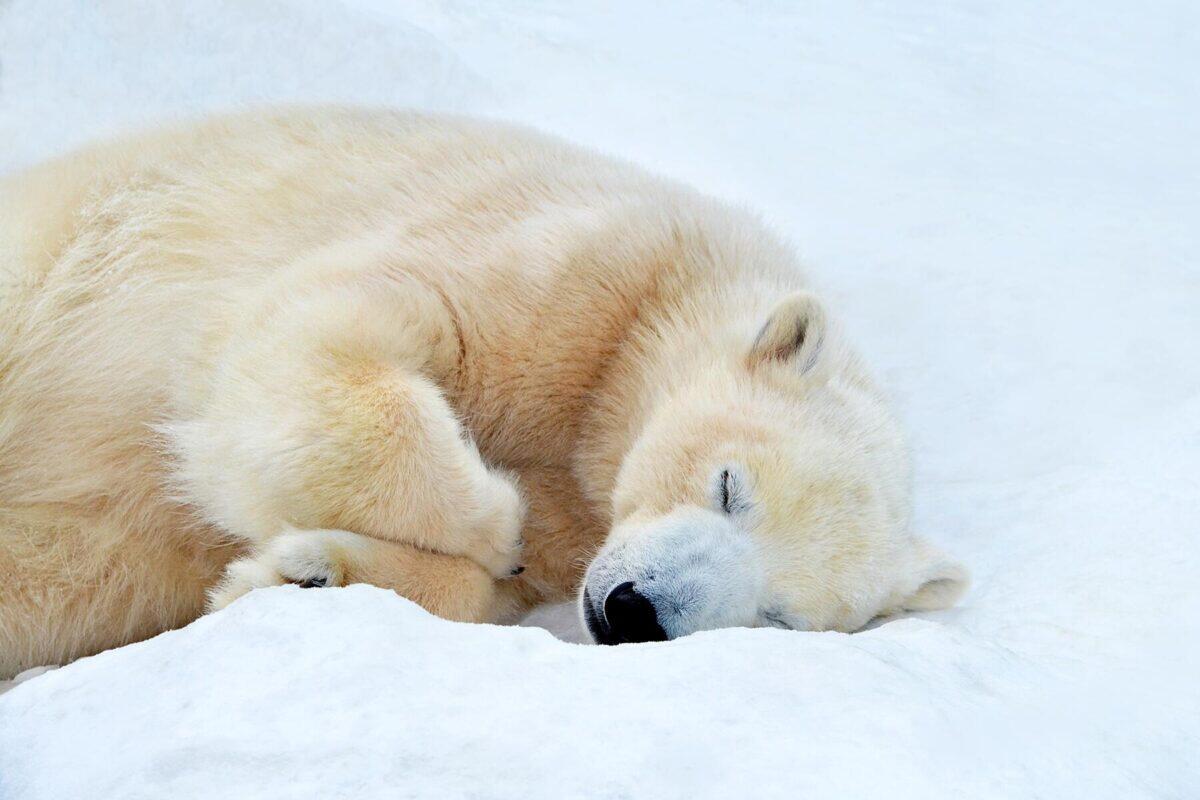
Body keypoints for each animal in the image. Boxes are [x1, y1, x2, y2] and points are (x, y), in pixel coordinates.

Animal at [0, 107, 967, 677]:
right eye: (730, 486)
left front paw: (304, 573)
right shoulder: (565, 269)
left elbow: (486, 595)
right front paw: (494, 515)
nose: (635, 610)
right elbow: (322, 329)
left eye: (779, 617)